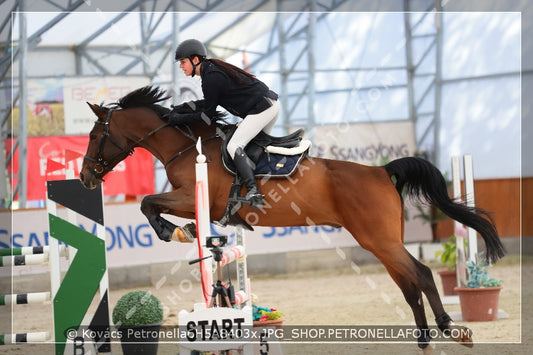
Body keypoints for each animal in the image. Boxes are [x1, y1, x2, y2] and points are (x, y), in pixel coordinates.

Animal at [79, 85, 502, 350]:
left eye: (94, 136)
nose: (84, 177)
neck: (186, 145)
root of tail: (381, 171)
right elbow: (150, 204)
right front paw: (180, 231)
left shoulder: (195, 199)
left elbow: (148, 203)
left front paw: (177, 231)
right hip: (381, 243)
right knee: (409, 284)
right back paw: (425, 340)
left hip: (380, 240)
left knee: (423, 275)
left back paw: (452, 330)